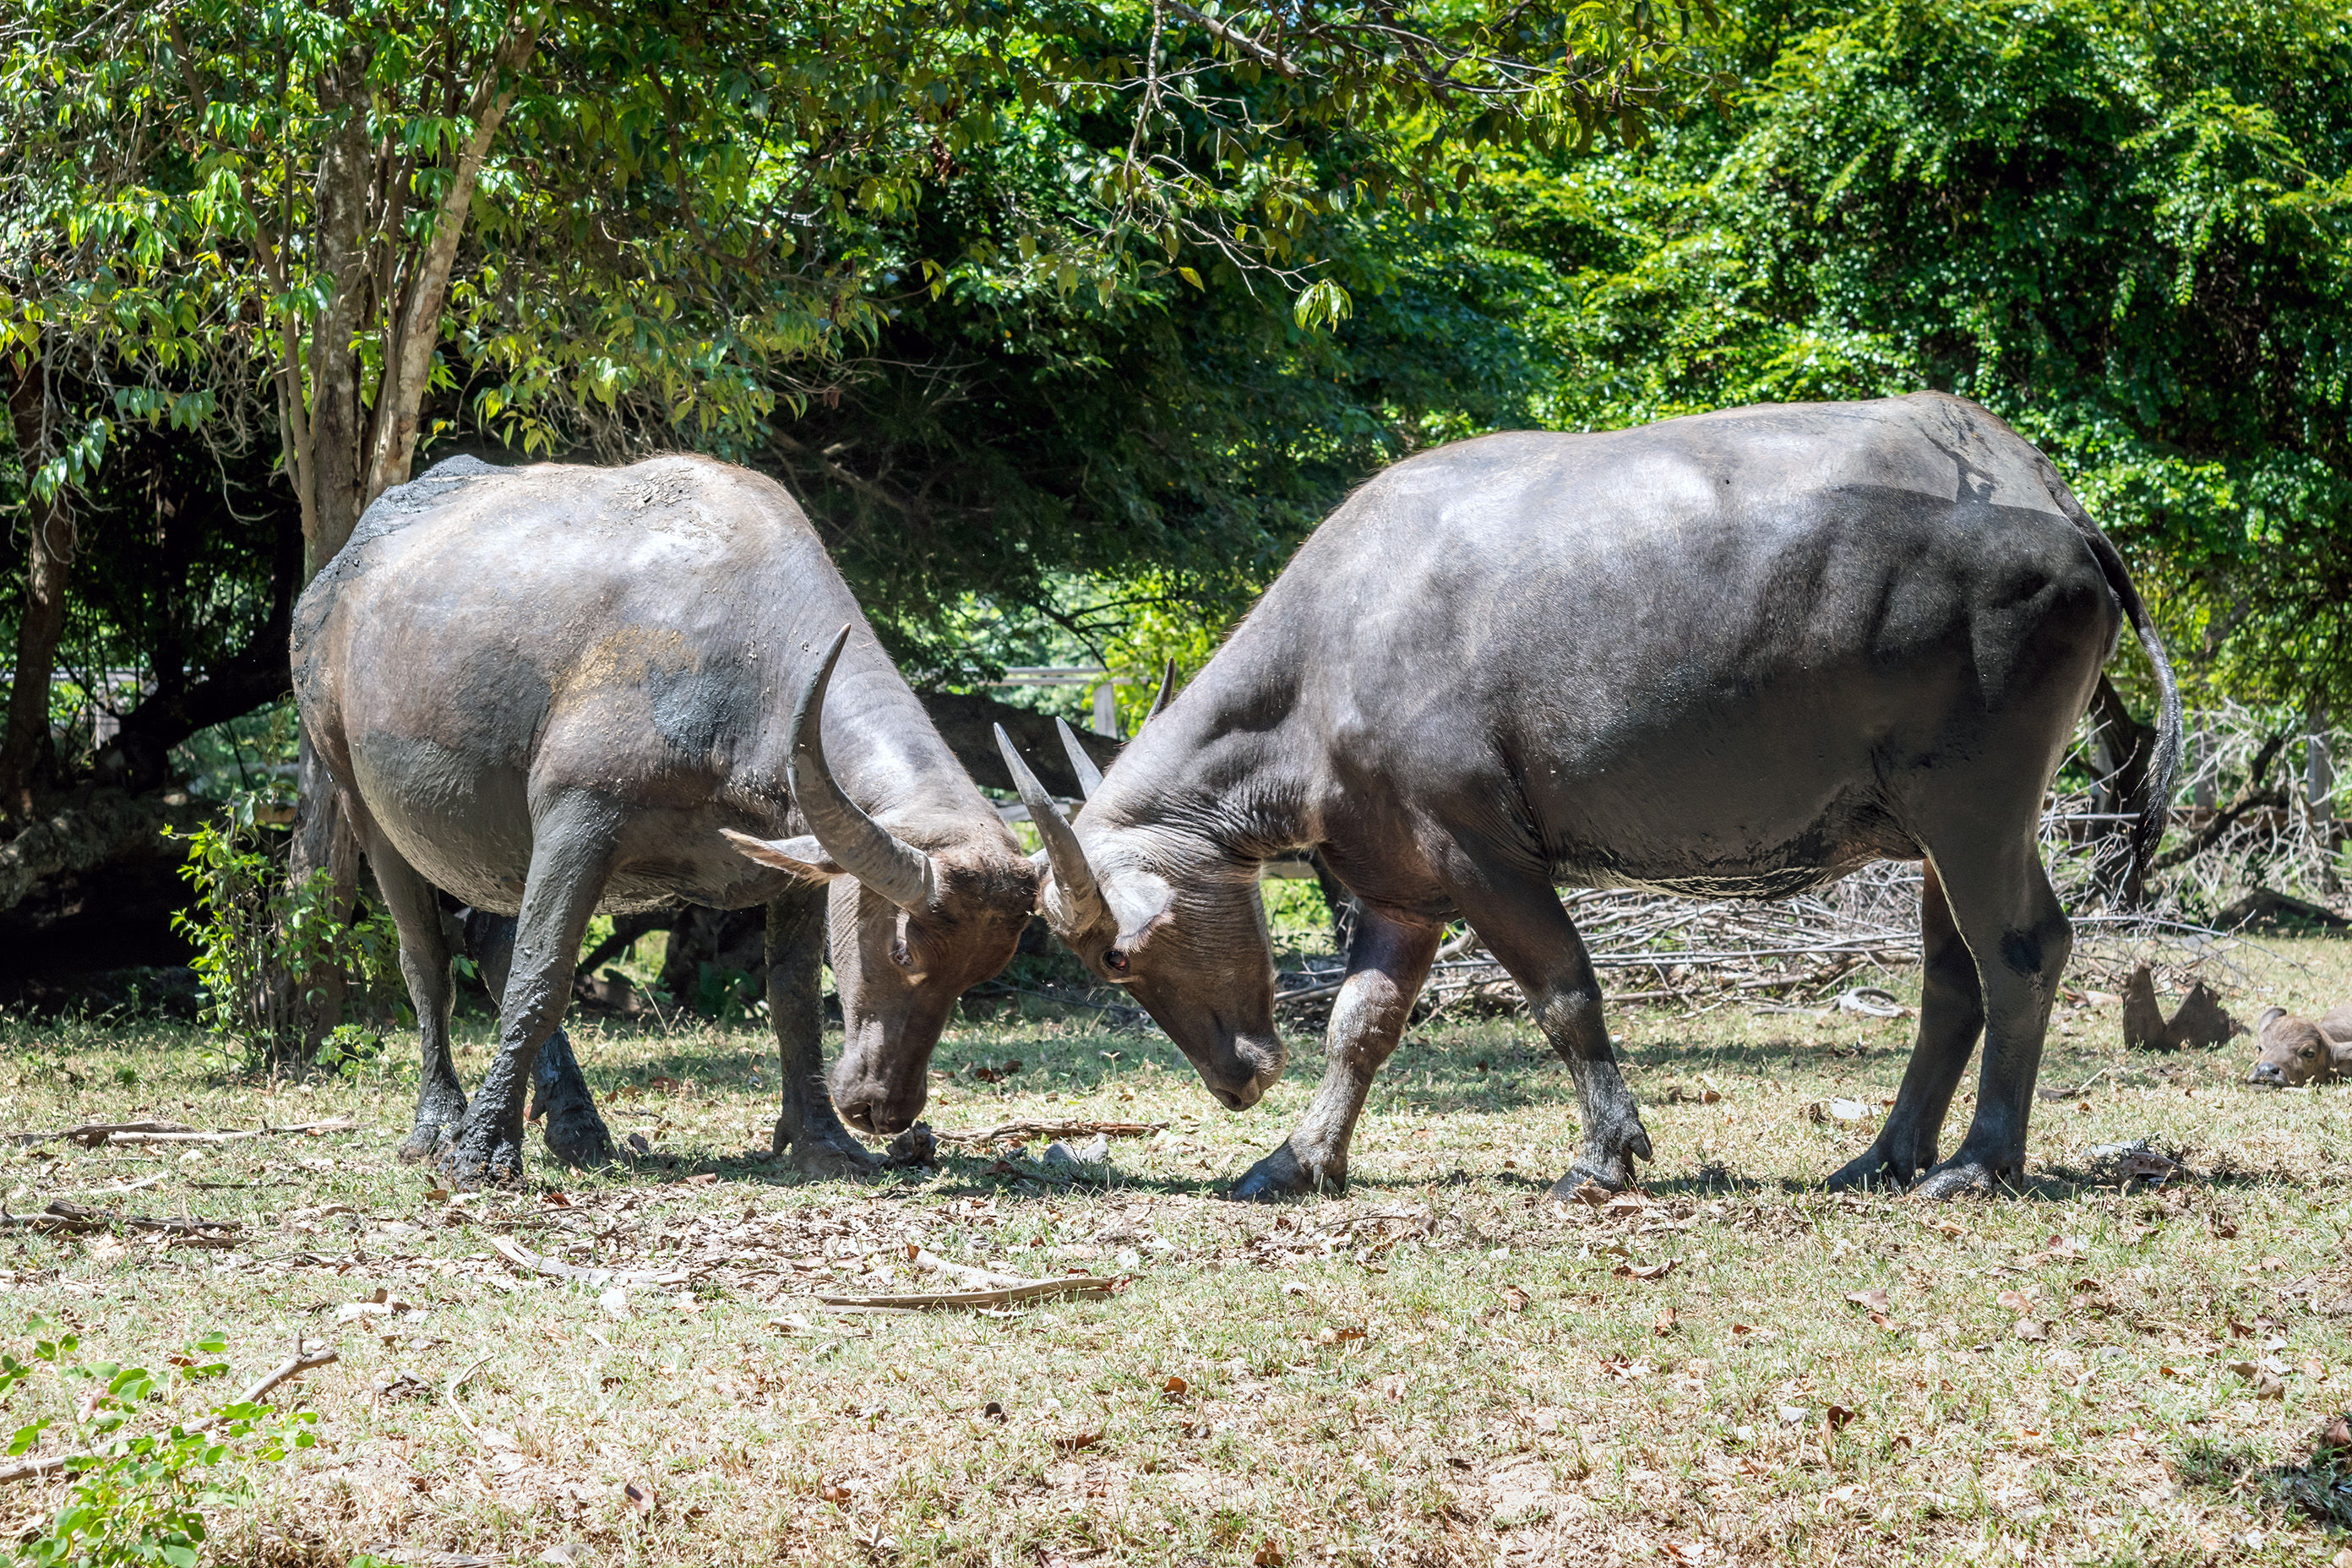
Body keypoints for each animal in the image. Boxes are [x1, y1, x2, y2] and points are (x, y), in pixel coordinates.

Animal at [293, 455, 1037, 1186]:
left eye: (981, 972)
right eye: (903, 950)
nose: (885, 1109)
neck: (743, 661)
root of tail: (330, 584)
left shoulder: (798, 869)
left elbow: (794, 999)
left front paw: (825, 1140)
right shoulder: (577, 822)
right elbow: (543, 978)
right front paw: (480, 1150)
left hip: (499, 846)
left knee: (491, 939)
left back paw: (578, 1127)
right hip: (360, 800)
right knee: (428, 961)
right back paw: (442, 1122)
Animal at [1001, 393, 2179, 1199]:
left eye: (1116, 953)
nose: (1238, 1079)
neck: (1335, 648)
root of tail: (2067, 522)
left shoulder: (1483, 853)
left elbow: (1566, 993)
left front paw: (1606, 1155)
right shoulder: (1402, 887)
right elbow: (1359, 1026)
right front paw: (1297, 1157)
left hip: (1978, 809)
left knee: (2021, 951)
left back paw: (1979, 1160)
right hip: (1941, 828)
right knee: (1951, 977)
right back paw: (1885, 1154)